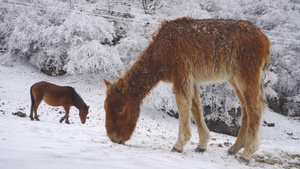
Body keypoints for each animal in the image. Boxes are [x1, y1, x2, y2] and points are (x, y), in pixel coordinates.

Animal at [103, 17, 272, 162]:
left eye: (120, 109)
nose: (113, 138)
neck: (161, 53)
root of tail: (265, 40)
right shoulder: (192, 79)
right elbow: (195, 107)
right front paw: (202, 144)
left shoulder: (181, 74)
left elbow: (183, 105)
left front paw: (179, 144)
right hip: (234, 80)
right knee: (246, 110)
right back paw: (235, 147)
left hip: (245, 76)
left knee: (255, 110)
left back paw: (247, 153)